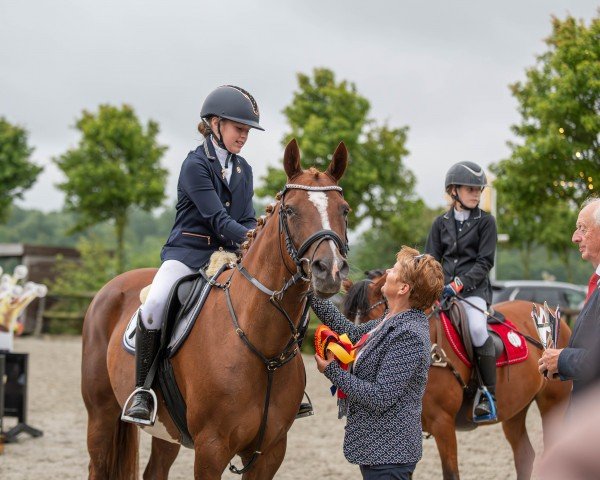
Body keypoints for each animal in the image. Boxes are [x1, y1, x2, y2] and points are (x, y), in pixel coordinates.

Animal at [81, 140, 352, 480]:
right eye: (290, 210)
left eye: (344, 209)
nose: (330, 270)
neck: (261, 346)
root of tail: (111, 286)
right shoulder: (211, 448)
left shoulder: (270, 452)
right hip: (101, 415)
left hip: (167, 431)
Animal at [342, 274, 572, 480]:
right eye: (347, 319)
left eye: (374, 321)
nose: (352, 362)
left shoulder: (443, 423)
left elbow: (451, 474)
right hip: (516, 410)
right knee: (524, 455)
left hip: (553, 404)